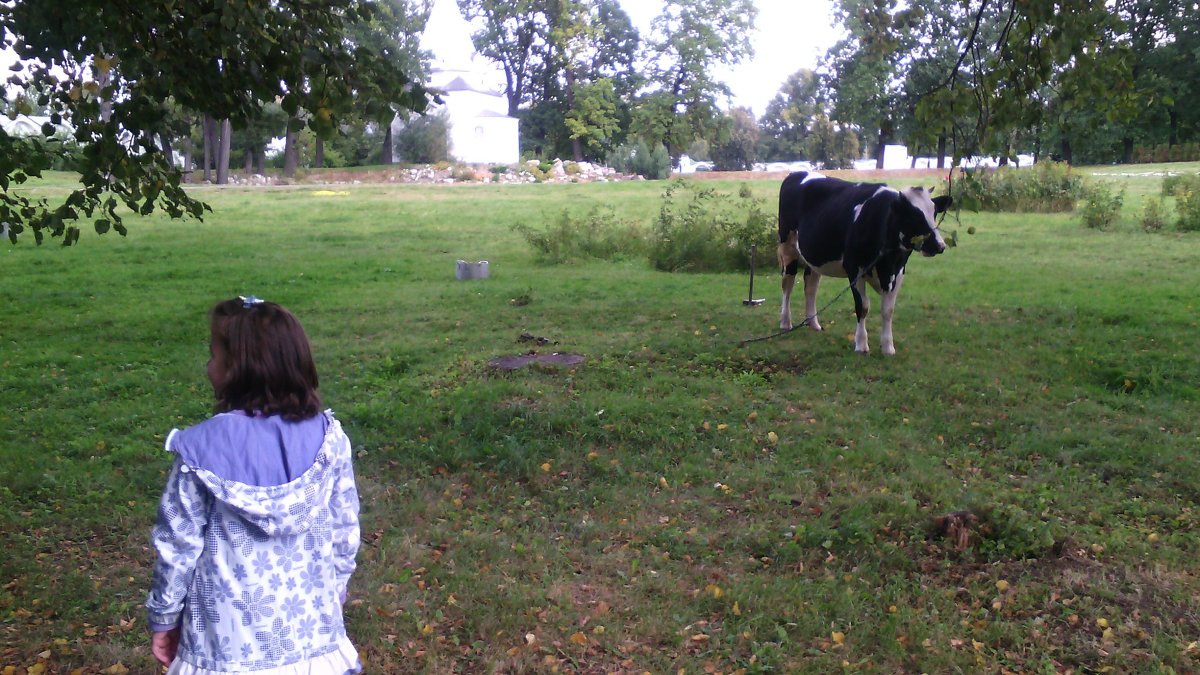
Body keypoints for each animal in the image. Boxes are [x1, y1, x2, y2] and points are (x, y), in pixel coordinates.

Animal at [777, 170, 955, 355]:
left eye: (933, 213)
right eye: (913, 216)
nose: (939, 245)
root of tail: (798, 172)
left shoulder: (898, 271)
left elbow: (888, 310)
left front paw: (888, 347)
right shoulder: (855, 268)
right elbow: (862, 306)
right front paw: (861, 344)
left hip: (815, 256)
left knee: (810, 286)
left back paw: (813, 324)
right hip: (787, 245)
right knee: (788, 284)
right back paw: (785, 321)